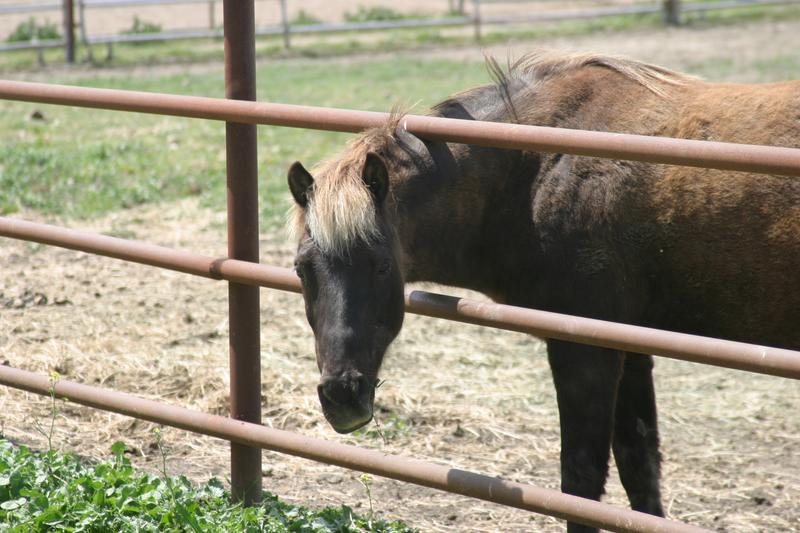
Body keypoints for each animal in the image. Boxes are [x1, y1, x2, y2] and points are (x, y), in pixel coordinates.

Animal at [286, 51, 800, 532]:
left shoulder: (585, 350)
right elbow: (640, 471)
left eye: (381, 266)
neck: (534, 168)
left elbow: (581, 481)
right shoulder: (630, 344)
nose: (342, 395)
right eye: (301, 269)